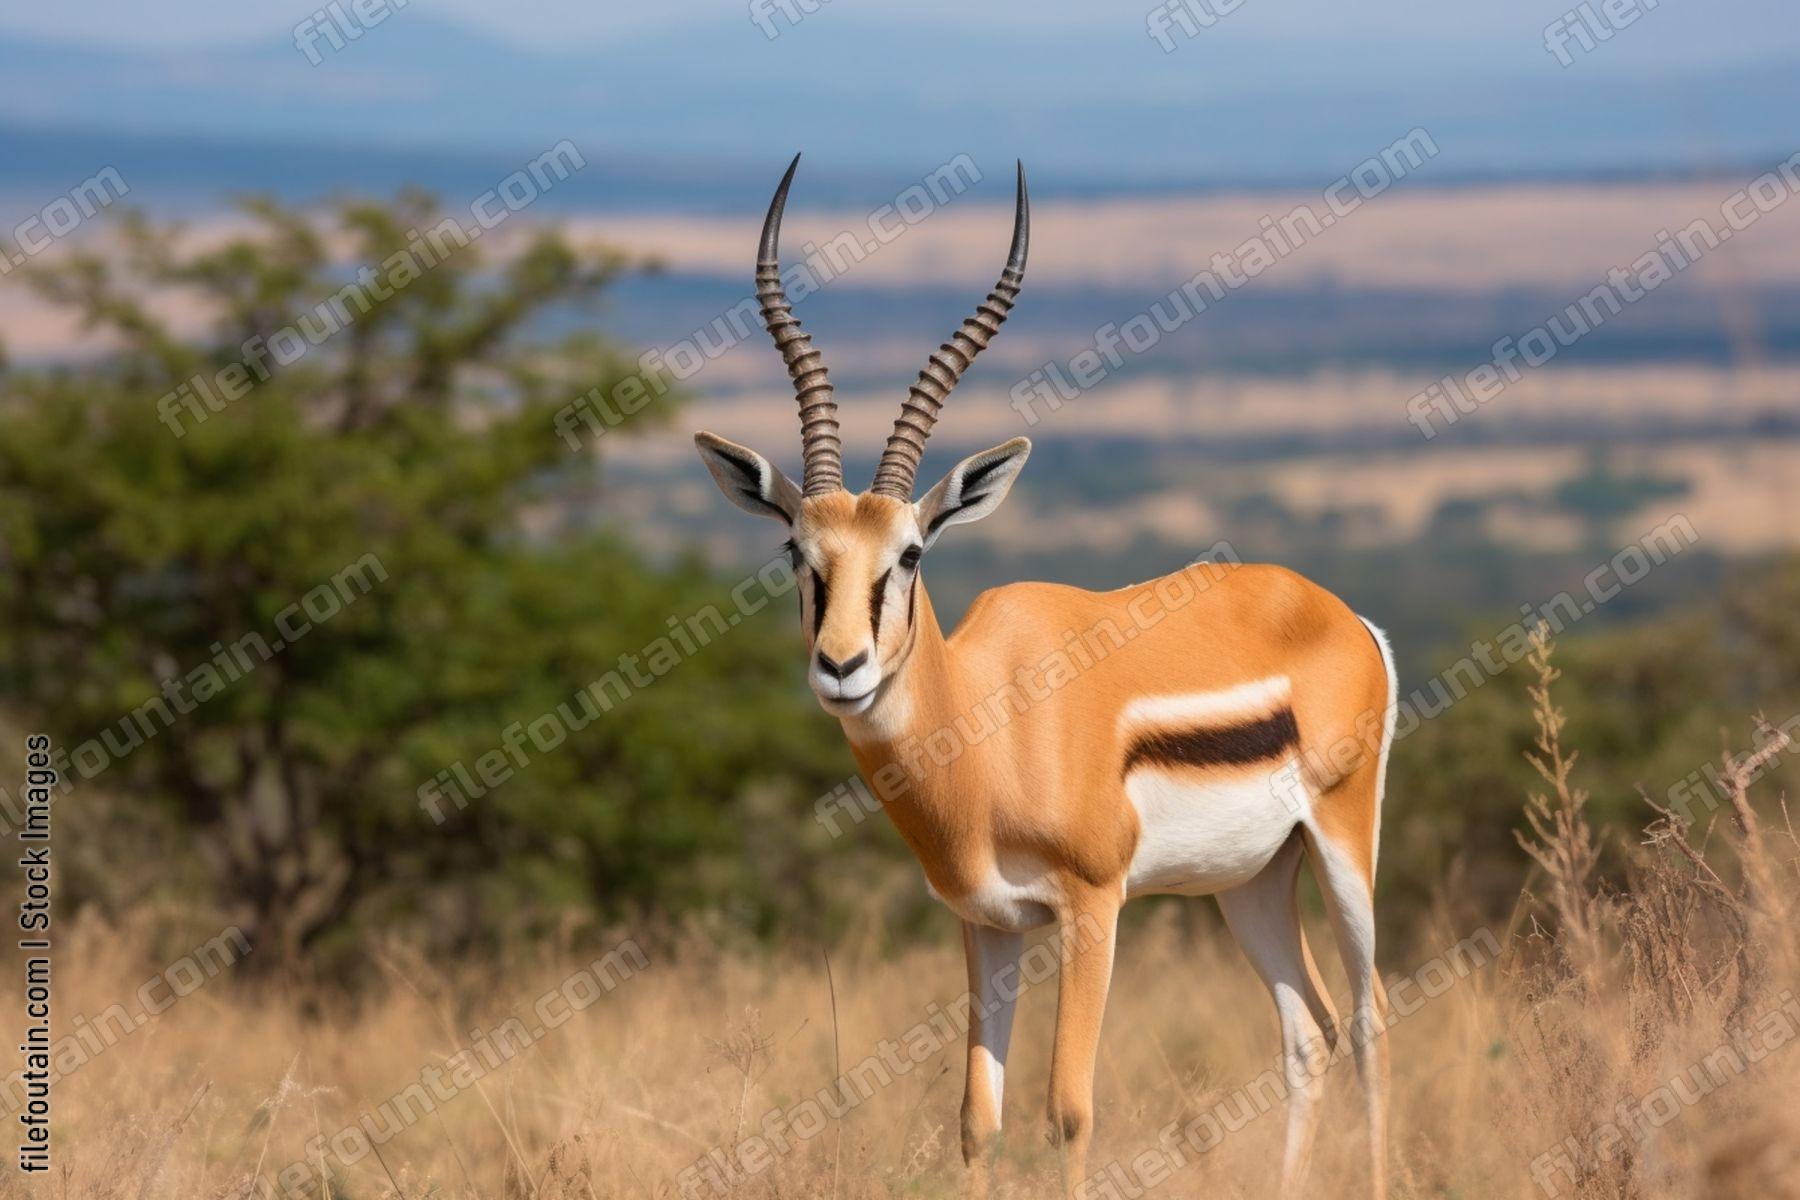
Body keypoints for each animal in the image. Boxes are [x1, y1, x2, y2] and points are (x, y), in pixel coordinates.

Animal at [694, 155, 1396, 1198]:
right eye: (795, 553)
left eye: (909, 555)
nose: (842, 668)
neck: (990, 731)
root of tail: (1341, 614)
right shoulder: (987, 921)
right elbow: (976, 1122)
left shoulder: (1092, 906)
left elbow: (1068, 1108)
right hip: (1253, 879)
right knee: (1308, 1034)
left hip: (1343, 840)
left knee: (1370, 1018)